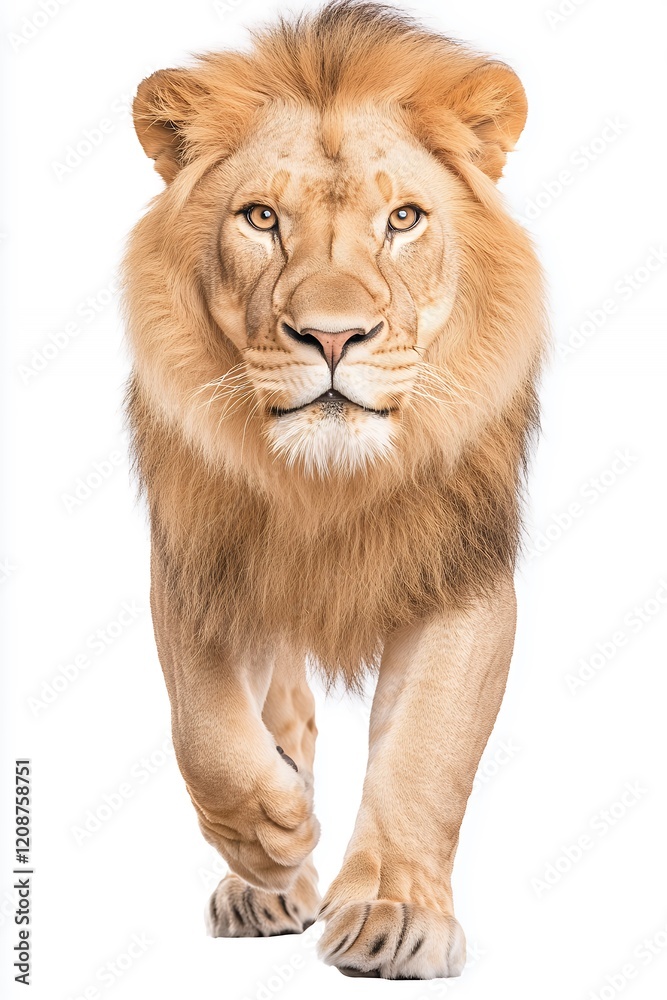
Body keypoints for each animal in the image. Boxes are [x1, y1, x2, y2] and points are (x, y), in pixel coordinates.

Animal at [122, 0, 547, 980]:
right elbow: (204, 726)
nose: (330, 336)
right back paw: (265, 876)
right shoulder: (196, 556)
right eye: (260, 218)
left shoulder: (459, 568)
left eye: (403, 218)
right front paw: (271, 836)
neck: (327, 486)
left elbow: (425, 747)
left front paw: (394, 915)